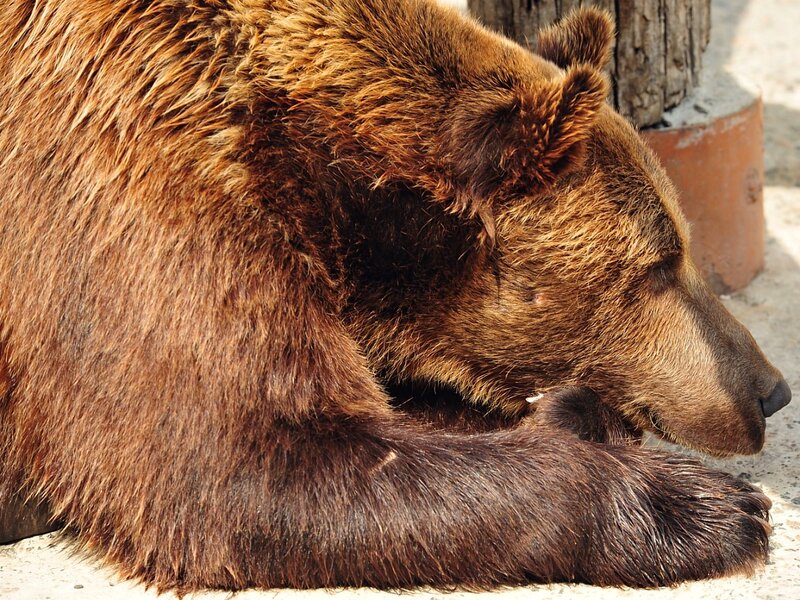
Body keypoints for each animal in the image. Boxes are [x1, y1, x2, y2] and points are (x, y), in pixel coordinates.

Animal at [0, 0, 792, 592]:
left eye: (681, 242)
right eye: (661, 264)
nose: (770, 390)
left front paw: (577, 415)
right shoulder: (128, 177)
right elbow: (243, 465)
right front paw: (711, 508)